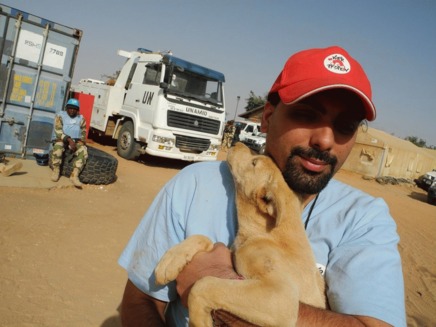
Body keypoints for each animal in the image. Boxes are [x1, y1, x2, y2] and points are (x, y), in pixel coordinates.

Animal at [155, 142, 326, 326]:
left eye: (254, 163)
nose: (237, 143)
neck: (265, 234)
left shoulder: (283, 296)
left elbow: (204, 284)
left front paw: (200, 320)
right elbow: (202, 237)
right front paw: (170, 262)